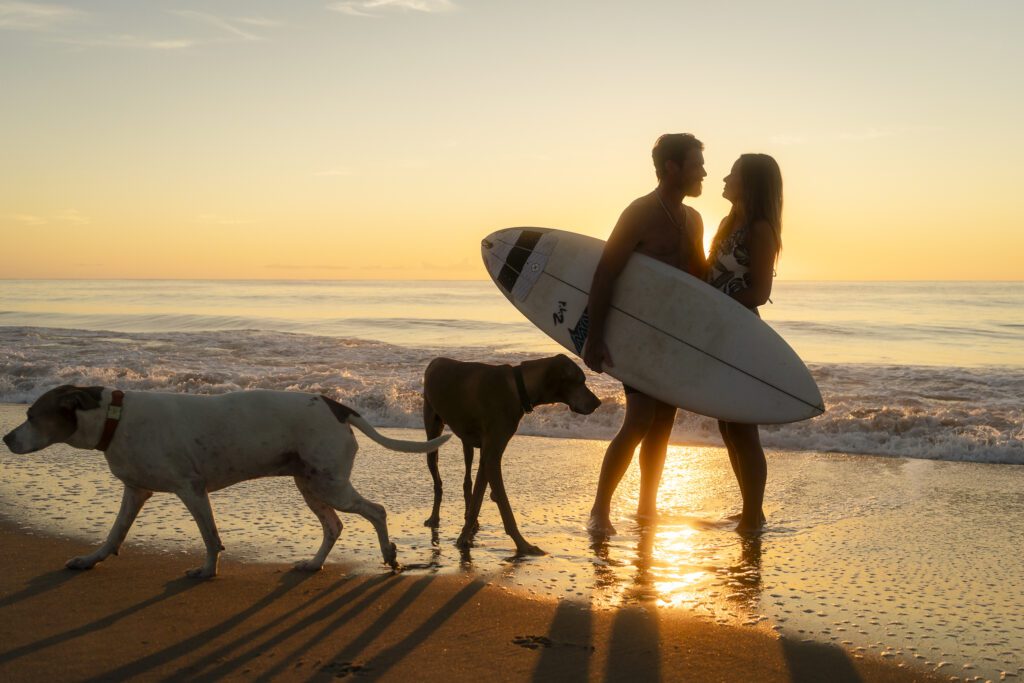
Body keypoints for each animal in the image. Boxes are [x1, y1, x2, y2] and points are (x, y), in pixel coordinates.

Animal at [2, 385, 448, 577]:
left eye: (32, 415)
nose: (6, 438)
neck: (115, 418)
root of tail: (336, 405)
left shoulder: (191, 489)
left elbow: (210, 537)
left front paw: (207, 570)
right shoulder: (137, 491)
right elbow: (114, 533)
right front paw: (90, 559)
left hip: (329, 484)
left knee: (376, 510)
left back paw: (389, 553)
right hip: (310, 483)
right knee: (334, 525)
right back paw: (314, 563)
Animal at [423, 352, 598, 557]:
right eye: (580, 381)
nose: (598, 403)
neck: (518, 386)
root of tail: (436, 361)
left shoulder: (488, 455)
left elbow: (477, 501)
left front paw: (465, 534)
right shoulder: (493, 456)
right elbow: (505, 508)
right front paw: (523, 545)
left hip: (467, 442)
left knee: (467, 479)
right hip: (432, 431)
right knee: (438, 482)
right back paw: (434, 517)